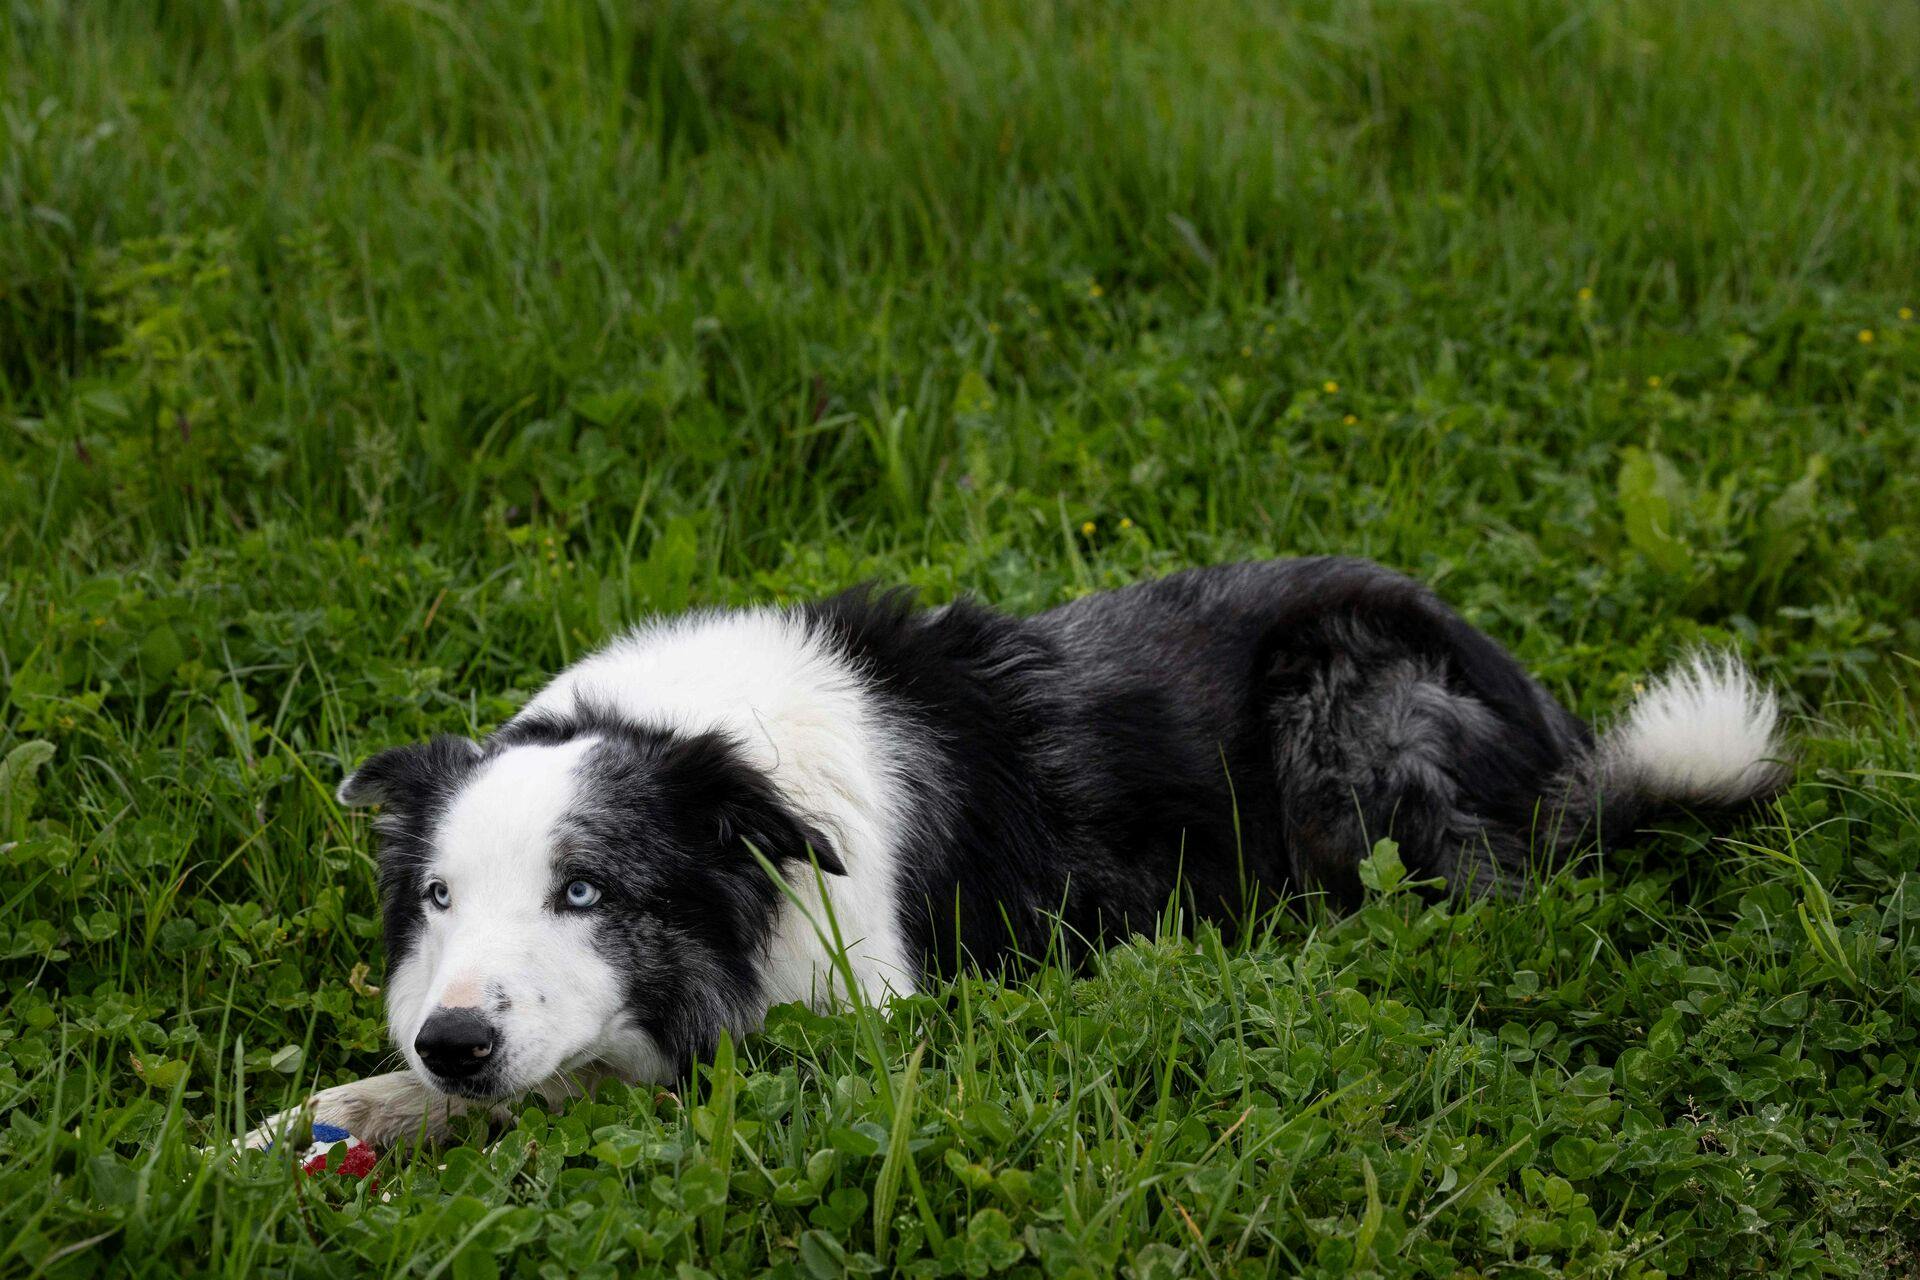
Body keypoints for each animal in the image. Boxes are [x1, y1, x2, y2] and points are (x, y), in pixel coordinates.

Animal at [247, 560, 1789, 1151]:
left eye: (587, 890)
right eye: (437, 897)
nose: (451, 1039)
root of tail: (1550, 728)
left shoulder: (857, 1033)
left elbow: (566, 1090)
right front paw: (301, 1125)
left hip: (1349, 709)